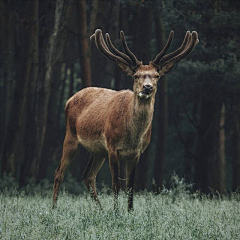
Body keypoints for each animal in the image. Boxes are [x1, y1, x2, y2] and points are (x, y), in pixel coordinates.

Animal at [53, 28, 199, 211]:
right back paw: (54, 208)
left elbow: (130, 185)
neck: (132, 136)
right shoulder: (113, 147)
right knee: (59, 172)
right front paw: (116, 212)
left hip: (98, 150)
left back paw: (100, 210)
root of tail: (69, 100)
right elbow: (116, 183)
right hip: (71, 135)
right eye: (136, 76)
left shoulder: (136, 152)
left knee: (88, 175)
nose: (147, 87)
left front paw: (130, 211)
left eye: (157, 76)